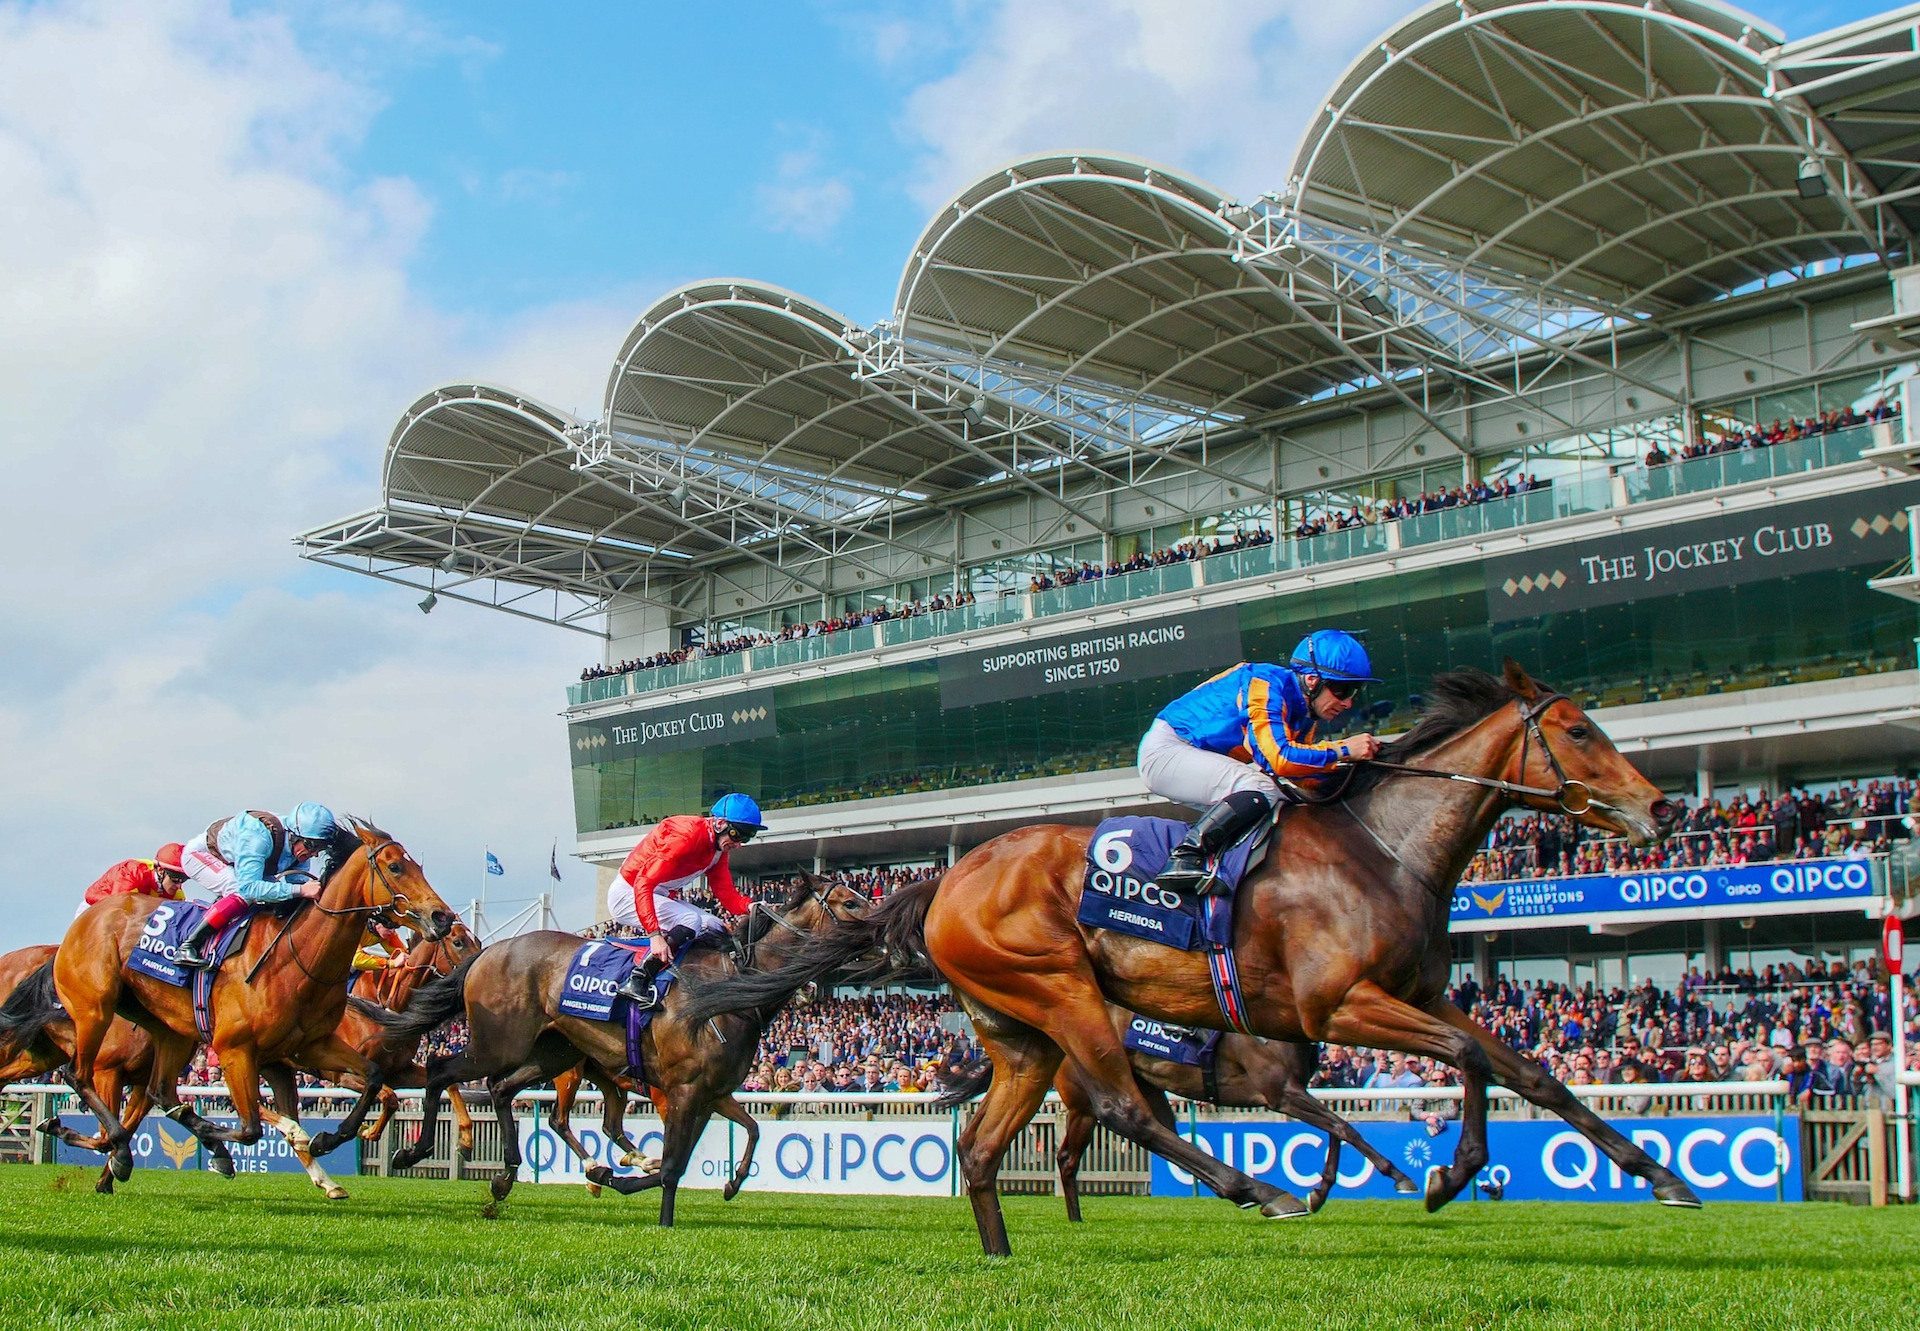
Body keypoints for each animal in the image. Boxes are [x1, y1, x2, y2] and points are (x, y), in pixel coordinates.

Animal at [0, 814, 453, 1198]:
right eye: (395, 868)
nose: (442, 917)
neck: (296, 957)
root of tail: (79, 928)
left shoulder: (311, 1047)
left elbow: (375, 1079)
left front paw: (328, 1139)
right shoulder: (236, 1050)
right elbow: (251, 1127)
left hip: (162, 1034)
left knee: (160, 1091)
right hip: (94, 1012)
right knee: (79, 1076)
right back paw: (118, 1149)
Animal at [687, 664, 1697, 1259]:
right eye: (1577, 731)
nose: (1664, 809)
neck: (1383, 847)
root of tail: (945, 880)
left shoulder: (1417, 995)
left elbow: (1527, 1069)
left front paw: (1663, 1176)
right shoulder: (1341, 1005)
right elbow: (1467, 1062)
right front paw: (1444, 1174)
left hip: (1021, 1031)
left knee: (983, 1145)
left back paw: (1003, 1250)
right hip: (1063, 991)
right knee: (1124, 1109)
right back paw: (1262, 1189)